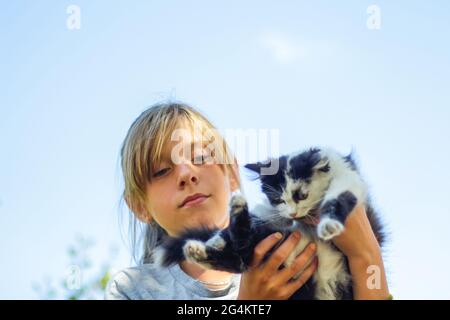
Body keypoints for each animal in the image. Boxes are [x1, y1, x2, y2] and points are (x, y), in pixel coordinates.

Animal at [153, 148, 384, 300]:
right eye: (278, 199)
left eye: (301, 195)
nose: (292, 213)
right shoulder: (271, 212)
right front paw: (218, 237)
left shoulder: (348, 179)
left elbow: (339, 199)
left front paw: (329, 225)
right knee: (241, 256)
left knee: (240, 258)